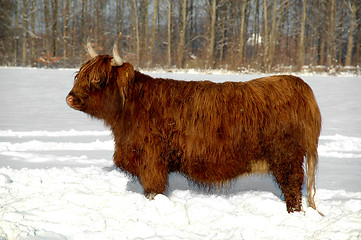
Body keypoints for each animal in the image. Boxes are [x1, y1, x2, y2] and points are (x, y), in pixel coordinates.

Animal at [67, 33, 320, 212]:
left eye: (98, 80)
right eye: (79, 75)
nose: (70, 98)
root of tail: (297, 85)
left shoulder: (152, 161)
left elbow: (153, 191)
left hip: (286, 158)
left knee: (293, 190)